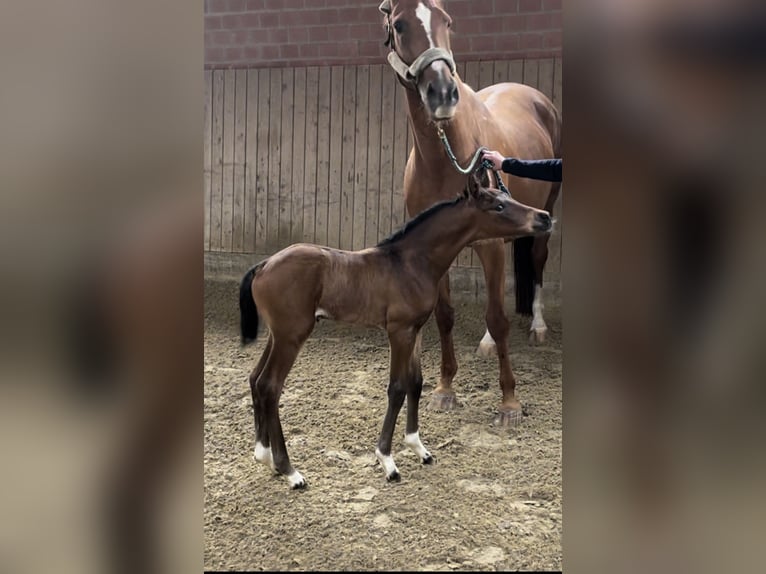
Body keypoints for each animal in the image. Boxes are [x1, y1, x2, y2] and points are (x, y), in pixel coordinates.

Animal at [240, 176, 552, 490]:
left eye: (508, 197)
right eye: (498, 206)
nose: (544, 217)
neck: (410, 263)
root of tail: (263, 265)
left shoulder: (414, 329)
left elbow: (415, 381)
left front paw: (419, 448)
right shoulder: (398, 331)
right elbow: (397, 388)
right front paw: (387, 461)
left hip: (278, 334)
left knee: (255, 378)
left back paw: (264, 456)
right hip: (292, 336)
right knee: (270, 385)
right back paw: (290, 471)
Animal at [380, 0, 560, 428]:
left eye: (447, 21)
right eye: (399, 24)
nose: (444, 93)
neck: (445, 156)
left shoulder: (491, 242)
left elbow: (498, 316)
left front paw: (509, 403)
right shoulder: (436, 246)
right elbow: (445, 315)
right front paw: (445, 389)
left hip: (544, 213)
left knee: (537, 261)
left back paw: (538, 326)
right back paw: (487, 343)